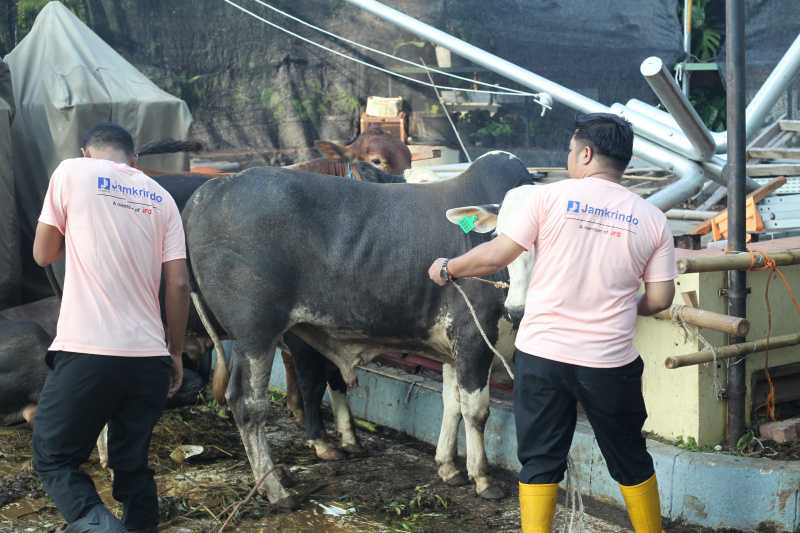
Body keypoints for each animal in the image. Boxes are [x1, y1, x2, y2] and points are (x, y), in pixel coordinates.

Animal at [183, 151, 536, 508]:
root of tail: (208, 192)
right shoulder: (474, 338)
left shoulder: (453, 348)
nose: (517, 309)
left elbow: (451, 405)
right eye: (501, 238)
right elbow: (476, 412)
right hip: (255, 333)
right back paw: (276, 489)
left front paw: (448, 467)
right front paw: (483, 478)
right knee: (248, 404)